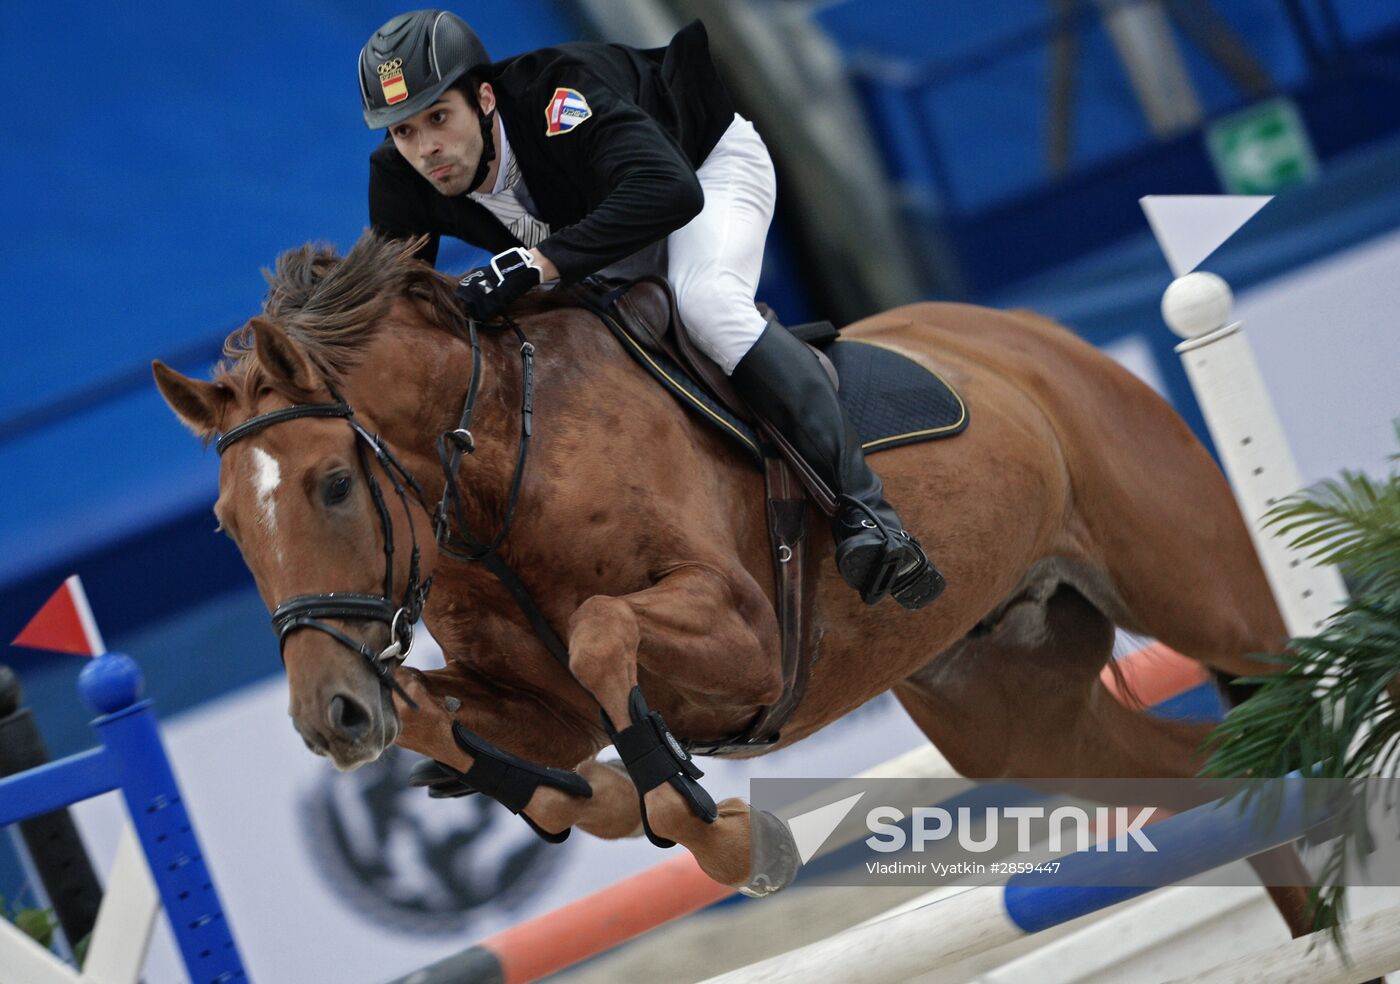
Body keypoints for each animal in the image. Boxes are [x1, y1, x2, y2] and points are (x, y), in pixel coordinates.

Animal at [158, 235, 1316, 935]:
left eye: (333, 483)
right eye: (227, 527)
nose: (331, 718)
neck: (491, 469)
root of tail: (1034, 336)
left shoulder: (744, 641)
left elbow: (602, 637)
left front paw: (734, 838)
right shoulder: (537, 707)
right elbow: (469, 728)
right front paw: (592, 797)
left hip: (1204, 598)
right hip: (1011, 711)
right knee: (1210, 773)